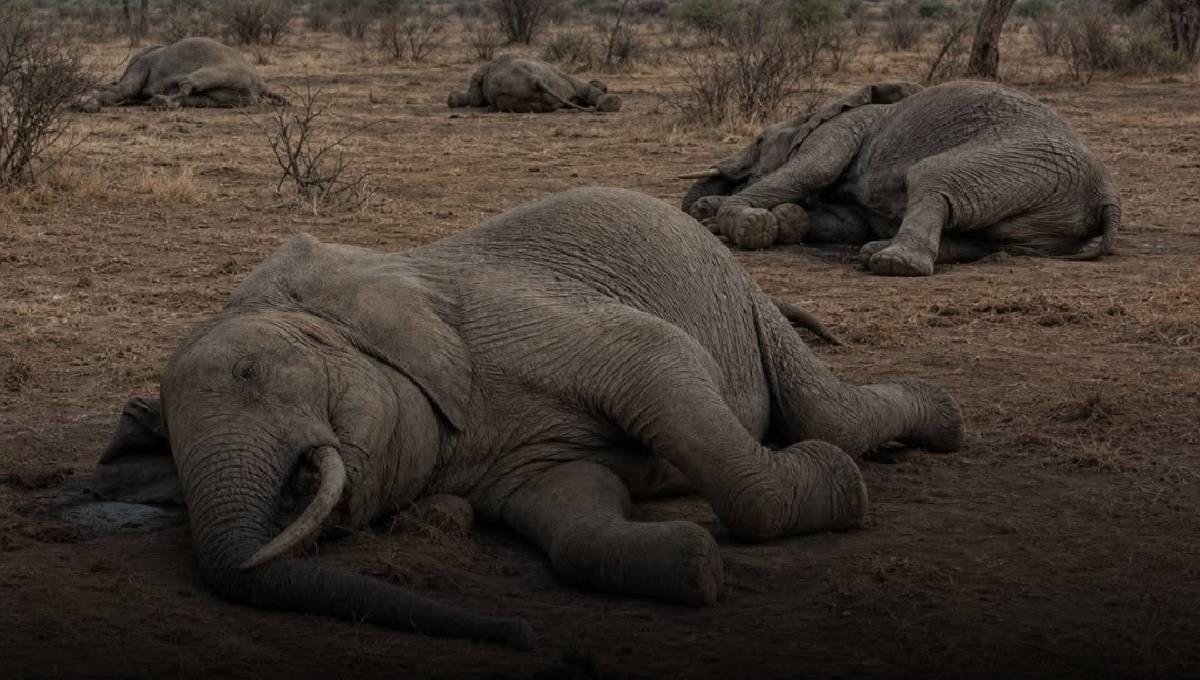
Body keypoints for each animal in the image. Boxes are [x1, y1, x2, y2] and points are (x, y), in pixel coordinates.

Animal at [76, 37, 286, 112]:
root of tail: (261, 83)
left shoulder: (143, 65)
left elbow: (123, 90)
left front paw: (85, 102)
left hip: (223, 72)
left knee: (188, 84)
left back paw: (158, 102)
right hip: (234, 96)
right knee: (197, 98)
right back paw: (162, 102)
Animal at [89, 188, 962, 646]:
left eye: (253, 372)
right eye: (168, 452)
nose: (533, 642)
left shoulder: (509, 325)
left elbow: (660, 364)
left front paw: (839, 492)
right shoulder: (505, 462)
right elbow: (572, 518)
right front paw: (691, 564)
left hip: (737, 295)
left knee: (828, 411)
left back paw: (940, 423)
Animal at [679, 81, 1122, 276]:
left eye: (758, 139)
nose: (699, 204)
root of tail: (1106, 196)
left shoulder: (841, 130)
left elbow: (812, 170)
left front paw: (743, 224)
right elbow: (845, 223)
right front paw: (784, 222)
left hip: (1022, 162)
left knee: (932, 176)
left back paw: (892, 262)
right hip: (1046, 210)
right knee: (991, 240)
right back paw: (875, 249)